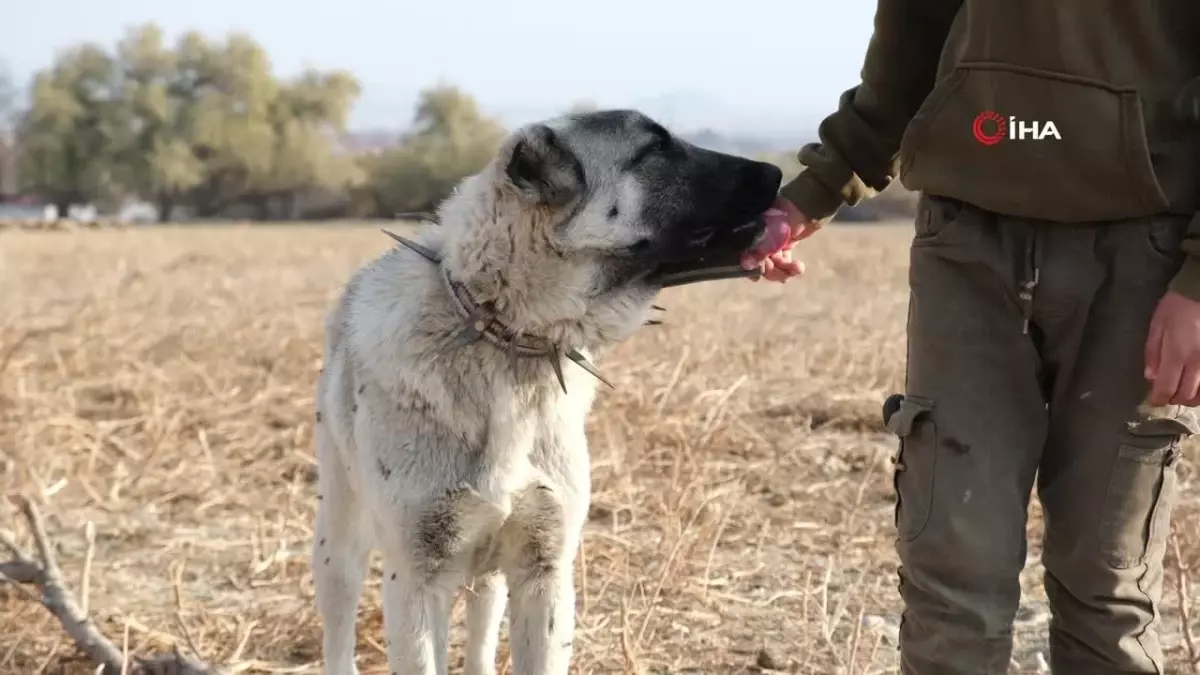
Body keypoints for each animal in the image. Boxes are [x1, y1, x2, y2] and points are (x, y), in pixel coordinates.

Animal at [312, 107, 787, 667]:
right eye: (654, 149)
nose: (778, 173)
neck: (502, 335)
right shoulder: (416, 581)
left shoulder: (544, 574)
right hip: (339, 543)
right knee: (338, 628)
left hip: (489, 573)